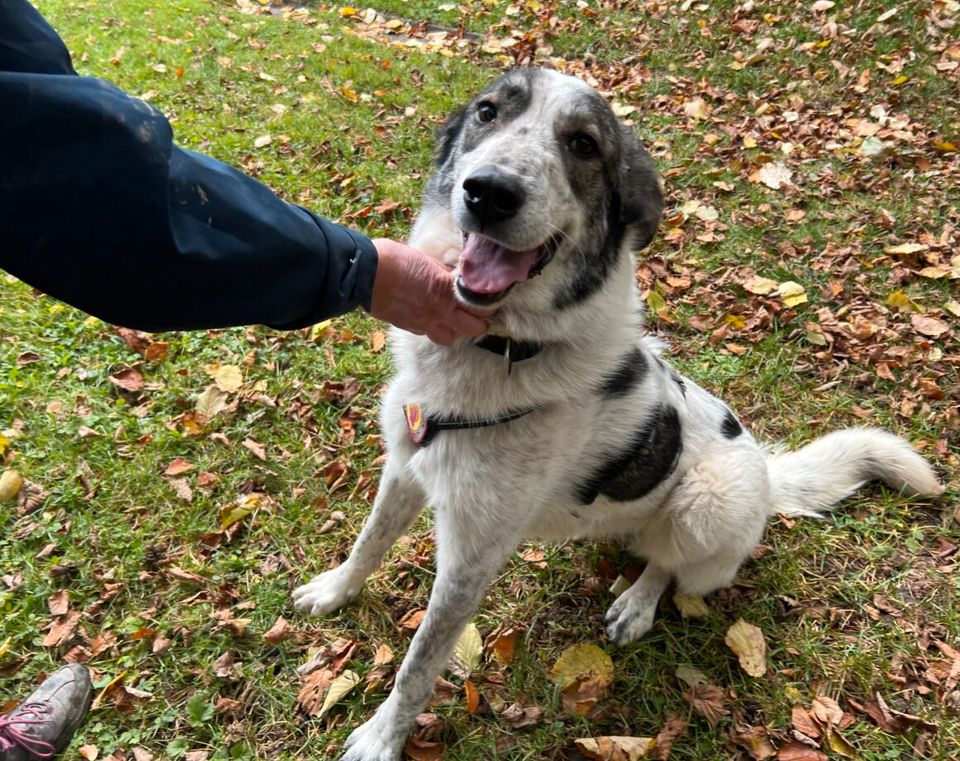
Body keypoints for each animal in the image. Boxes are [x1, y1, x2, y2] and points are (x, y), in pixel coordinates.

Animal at [290, 68, 936, 756]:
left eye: (583, 145)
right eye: (488, 112)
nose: (488, 192)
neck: (501, 346)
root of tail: (767, 475)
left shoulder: (470, 557)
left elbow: (419, 661)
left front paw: (383, 736)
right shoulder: (406, 467)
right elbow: (370, 541)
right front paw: (335, 590)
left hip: (711, 498)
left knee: (668, 565)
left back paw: (637, 604)